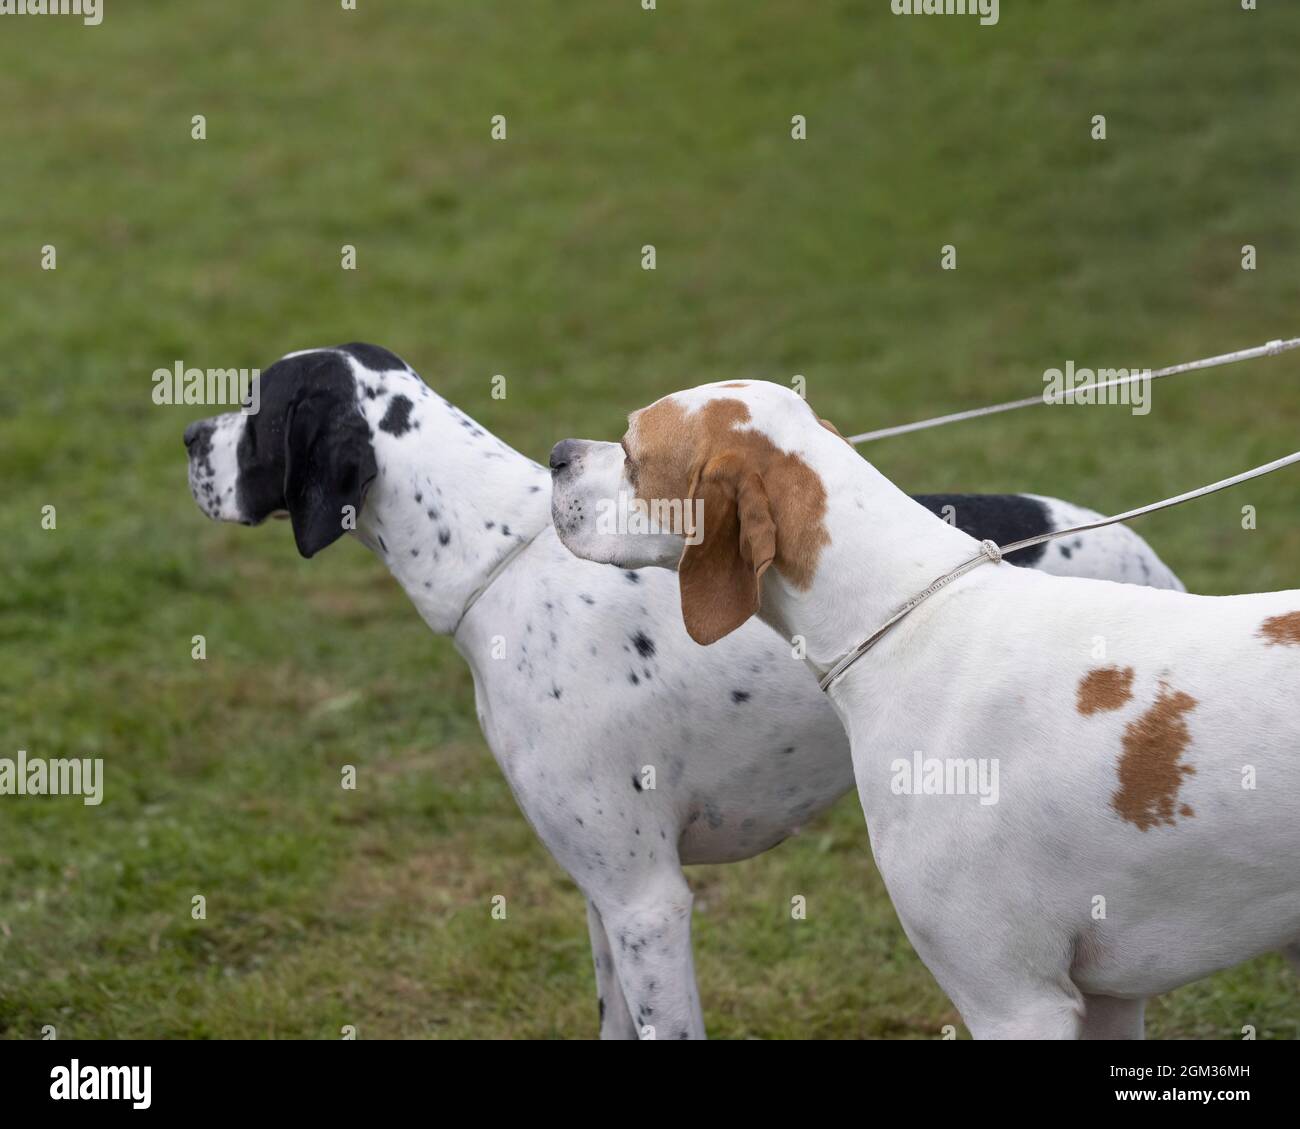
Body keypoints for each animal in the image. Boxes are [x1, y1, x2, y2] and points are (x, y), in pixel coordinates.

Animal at [183, 345, 1190, 1040]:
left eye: (254, 403)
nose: (186, 435)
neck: (501, 558)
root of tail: (1145, 552)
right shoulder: (603, 894)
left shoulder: (648, 901)